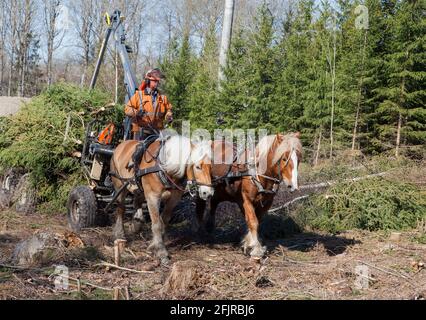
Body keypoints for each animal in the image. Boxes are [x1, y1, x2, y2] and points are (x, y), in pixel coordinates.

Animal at [111, 134, 215, 264]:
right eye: (197, 167)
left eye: (211, 167)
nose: (208, 193)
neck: (164, 167)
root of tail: (122, 145)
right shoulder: (152, 197)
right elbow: (156, 224)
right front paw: (161, 251)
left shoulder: (174, 198)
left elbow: (164, 221)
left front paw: (155, 245)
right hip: (120, 185)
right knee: (121, 209)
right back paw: (120, 233)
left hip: (138, 187)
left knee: (137, 200)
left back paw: (137, 222)